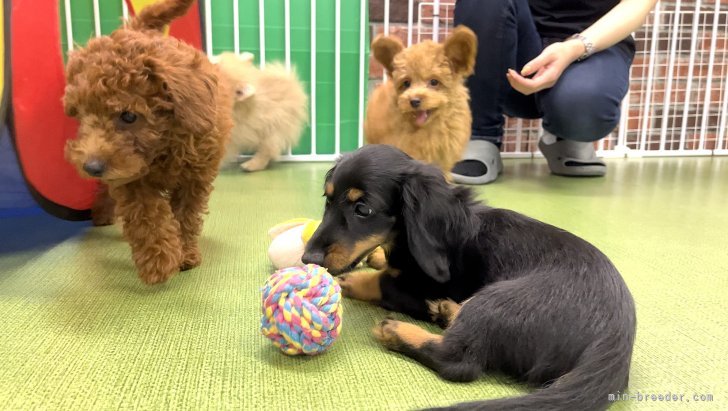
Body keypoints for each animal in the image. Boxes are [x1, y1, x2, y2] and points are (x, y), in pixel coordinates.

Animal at [304, 146, 636, 411]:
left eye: (363, 208)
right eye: (327, 200)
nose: (308, 259)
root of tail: (615, 342)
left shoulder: (423, 285)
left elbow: (383, 281)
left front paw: (350, 282)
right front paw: (376, 257)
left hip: (499, 300)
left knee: (457, 361)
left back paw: (397, 330)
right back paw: (447, 311)